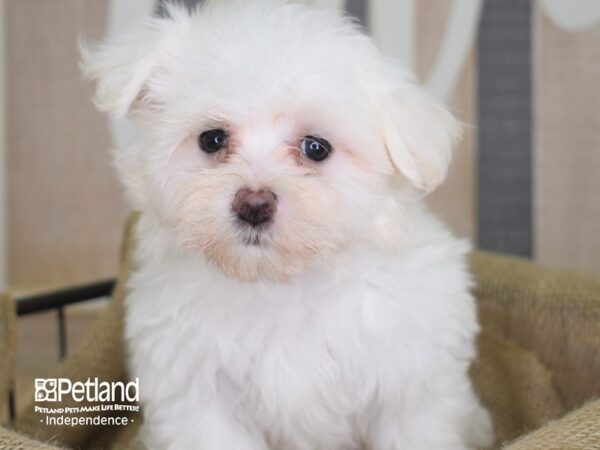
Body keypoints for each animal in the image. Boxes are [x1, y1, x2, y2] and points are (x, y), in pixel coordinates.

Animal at [82, 0, 494, 450]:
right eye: (212, 139)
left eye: (316, 148)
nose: (253, 204)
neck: (281, 284)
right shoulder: (198, 393)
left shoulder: (409, 383)